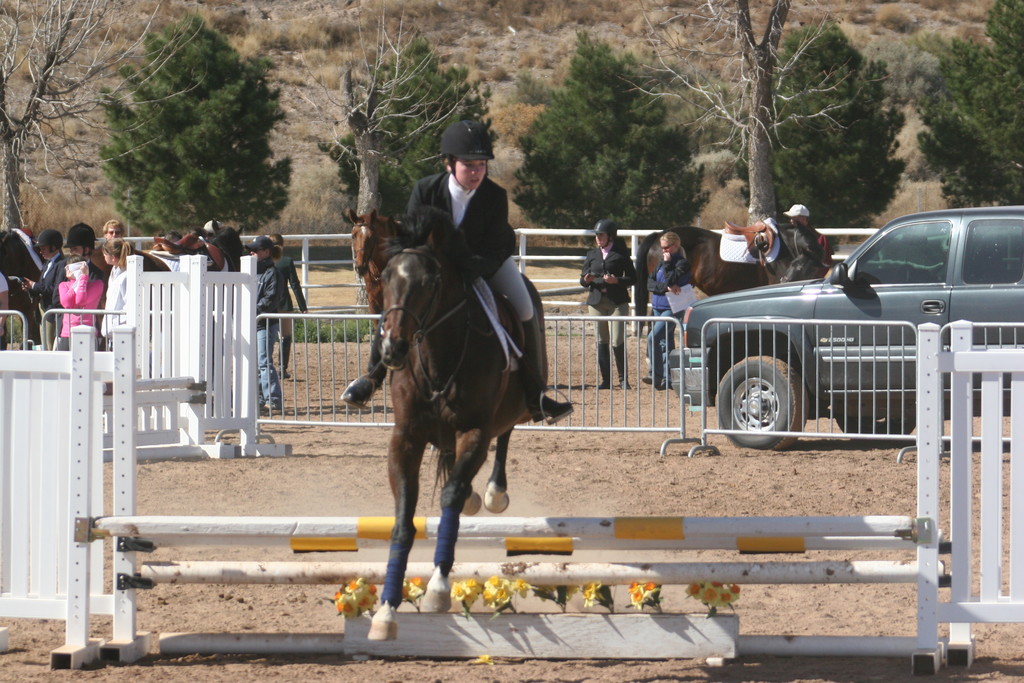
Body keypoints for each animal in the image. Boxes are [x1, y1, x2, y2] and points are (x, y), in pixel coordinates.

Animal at [366, 206, 544, 643]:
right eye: (387, 276)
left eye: (430, 283)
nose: (392, 349)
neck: (437, 353)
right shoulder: (405, 439)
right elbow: (402, 522)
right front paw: (386, 611)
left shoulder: (474, 432)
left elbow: (449, 498)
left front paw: (438, 588)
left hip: (514, 408)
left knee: (504, 436)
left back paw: (493, 493)